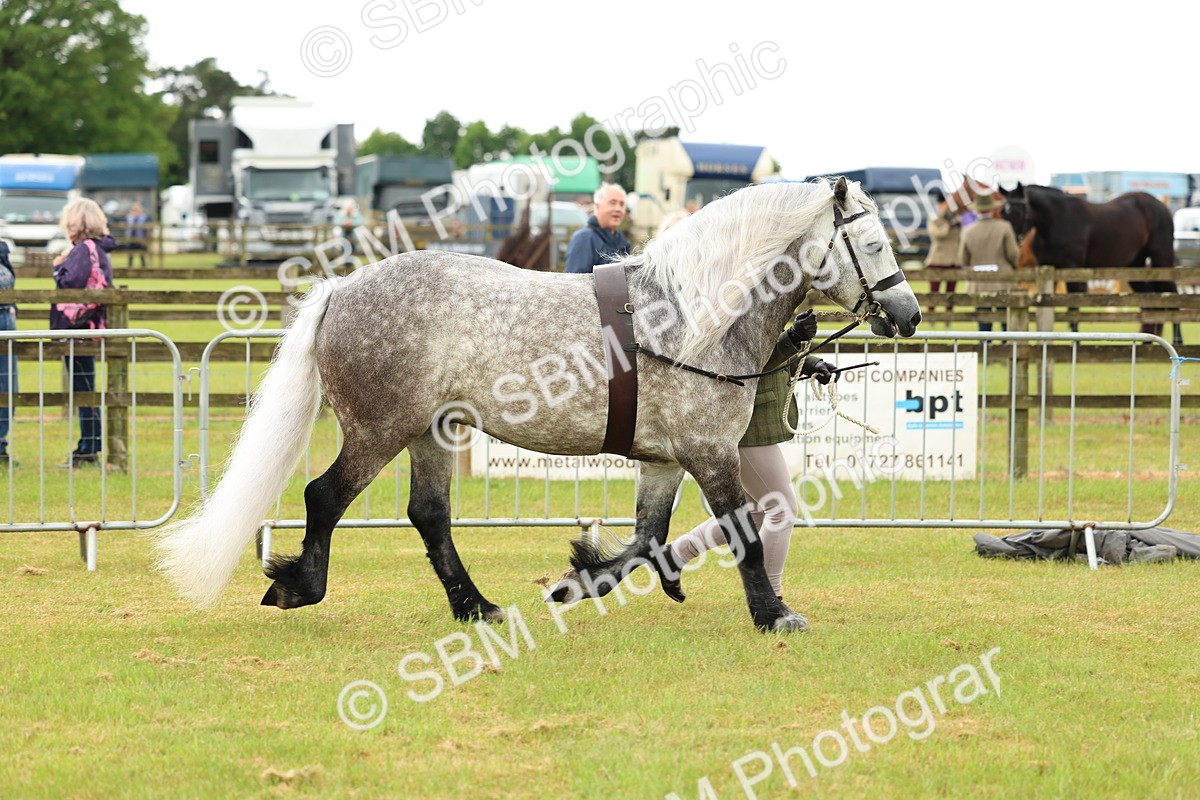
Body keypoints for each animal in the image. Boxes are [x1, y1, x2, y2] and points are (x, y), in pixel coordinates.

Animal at [155, 177, 922, 634]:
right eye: (873, 241)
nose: (909, 316)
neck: (690, 316)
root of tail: (342, 288)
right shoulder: (709, 454)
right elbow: (744, 531)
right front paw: (774, 614)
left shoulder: (666, 460)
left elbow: (647, 537)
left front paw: (580, 581)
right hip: (380, 430)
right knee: (325, 496)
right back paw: (299, 586)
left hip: (433, 432)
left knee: (429, 516)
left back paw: (476, 607)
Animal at [1001, 183, 1181, 342]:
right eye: (1003, 212)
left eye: (1018, 211)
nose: (1013, 244)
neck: (1055, 221)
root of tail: (1160, 205)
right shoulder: (1048, 271)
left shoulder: (1073, 271)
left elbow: (1073, 310)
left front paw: (1076, 341)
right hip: (1135, 267)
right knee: (1150, 303)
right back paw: (1147, 343)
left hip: (1161, 261)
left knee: (1172, 297)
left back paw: (1177, 340)